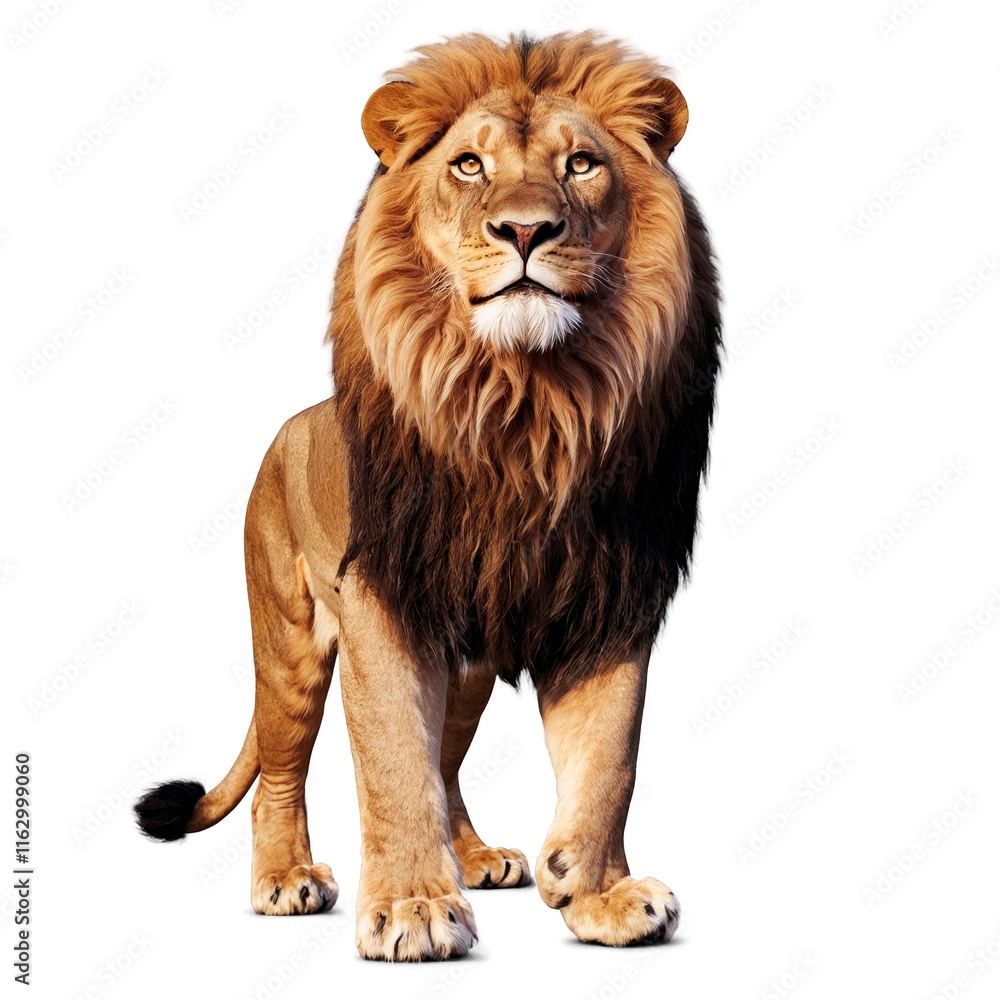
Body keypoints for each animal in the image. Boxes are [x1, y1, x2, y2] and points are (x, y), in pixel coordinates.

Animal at [134, 31, 722, 961]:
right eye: (470, 165)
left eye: (582, 163)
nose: (526, 229)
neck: (526, 406)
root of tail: (290, 426)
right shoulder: (383, 599)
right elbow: (391, 764)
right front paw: (412, 907)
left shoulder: (611, 592)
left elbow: (609, 759)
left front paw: (595, 891)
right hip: (289, 639)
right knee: (282, 768)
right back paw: (286, 878)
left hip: (470, 665)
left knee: (446, 761)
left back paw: (478, 856)